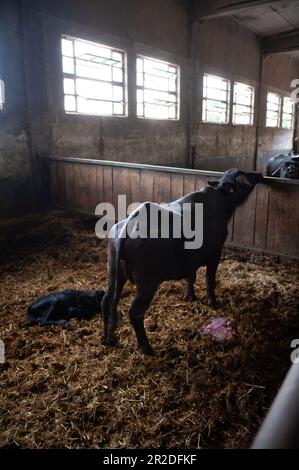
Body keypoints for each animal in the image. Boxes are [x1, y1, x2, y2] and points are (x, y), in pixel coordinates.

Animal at [102, 167, 264, 354]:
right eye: (243, 175)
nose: (259, 174)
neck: (222, 201)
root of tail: (129, 223)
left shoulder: (190, 260)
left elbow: (190, 277)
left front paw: (190, 296)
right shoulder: (215, 254)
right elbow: (209, 278)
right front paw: (212, 301)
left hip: (113, 272)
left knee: (106, 300)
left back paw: (107, 338)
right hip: (147, 283)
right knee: (135, 312)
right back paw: (147, 347)